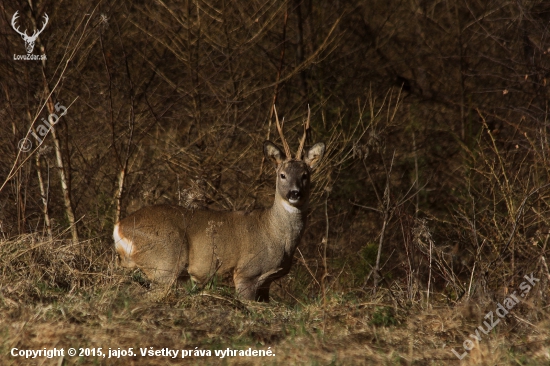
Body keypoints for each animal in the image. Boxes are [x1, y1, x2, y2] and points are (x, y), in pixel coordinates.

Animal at [113, 108, 326, 300]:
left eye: (305, 175)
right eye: (282, 175)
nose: (294, 193)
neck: (276, 234)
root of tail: (119, 227)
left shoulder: (266, 283)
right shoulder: (247, 273)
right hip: (164, 263)